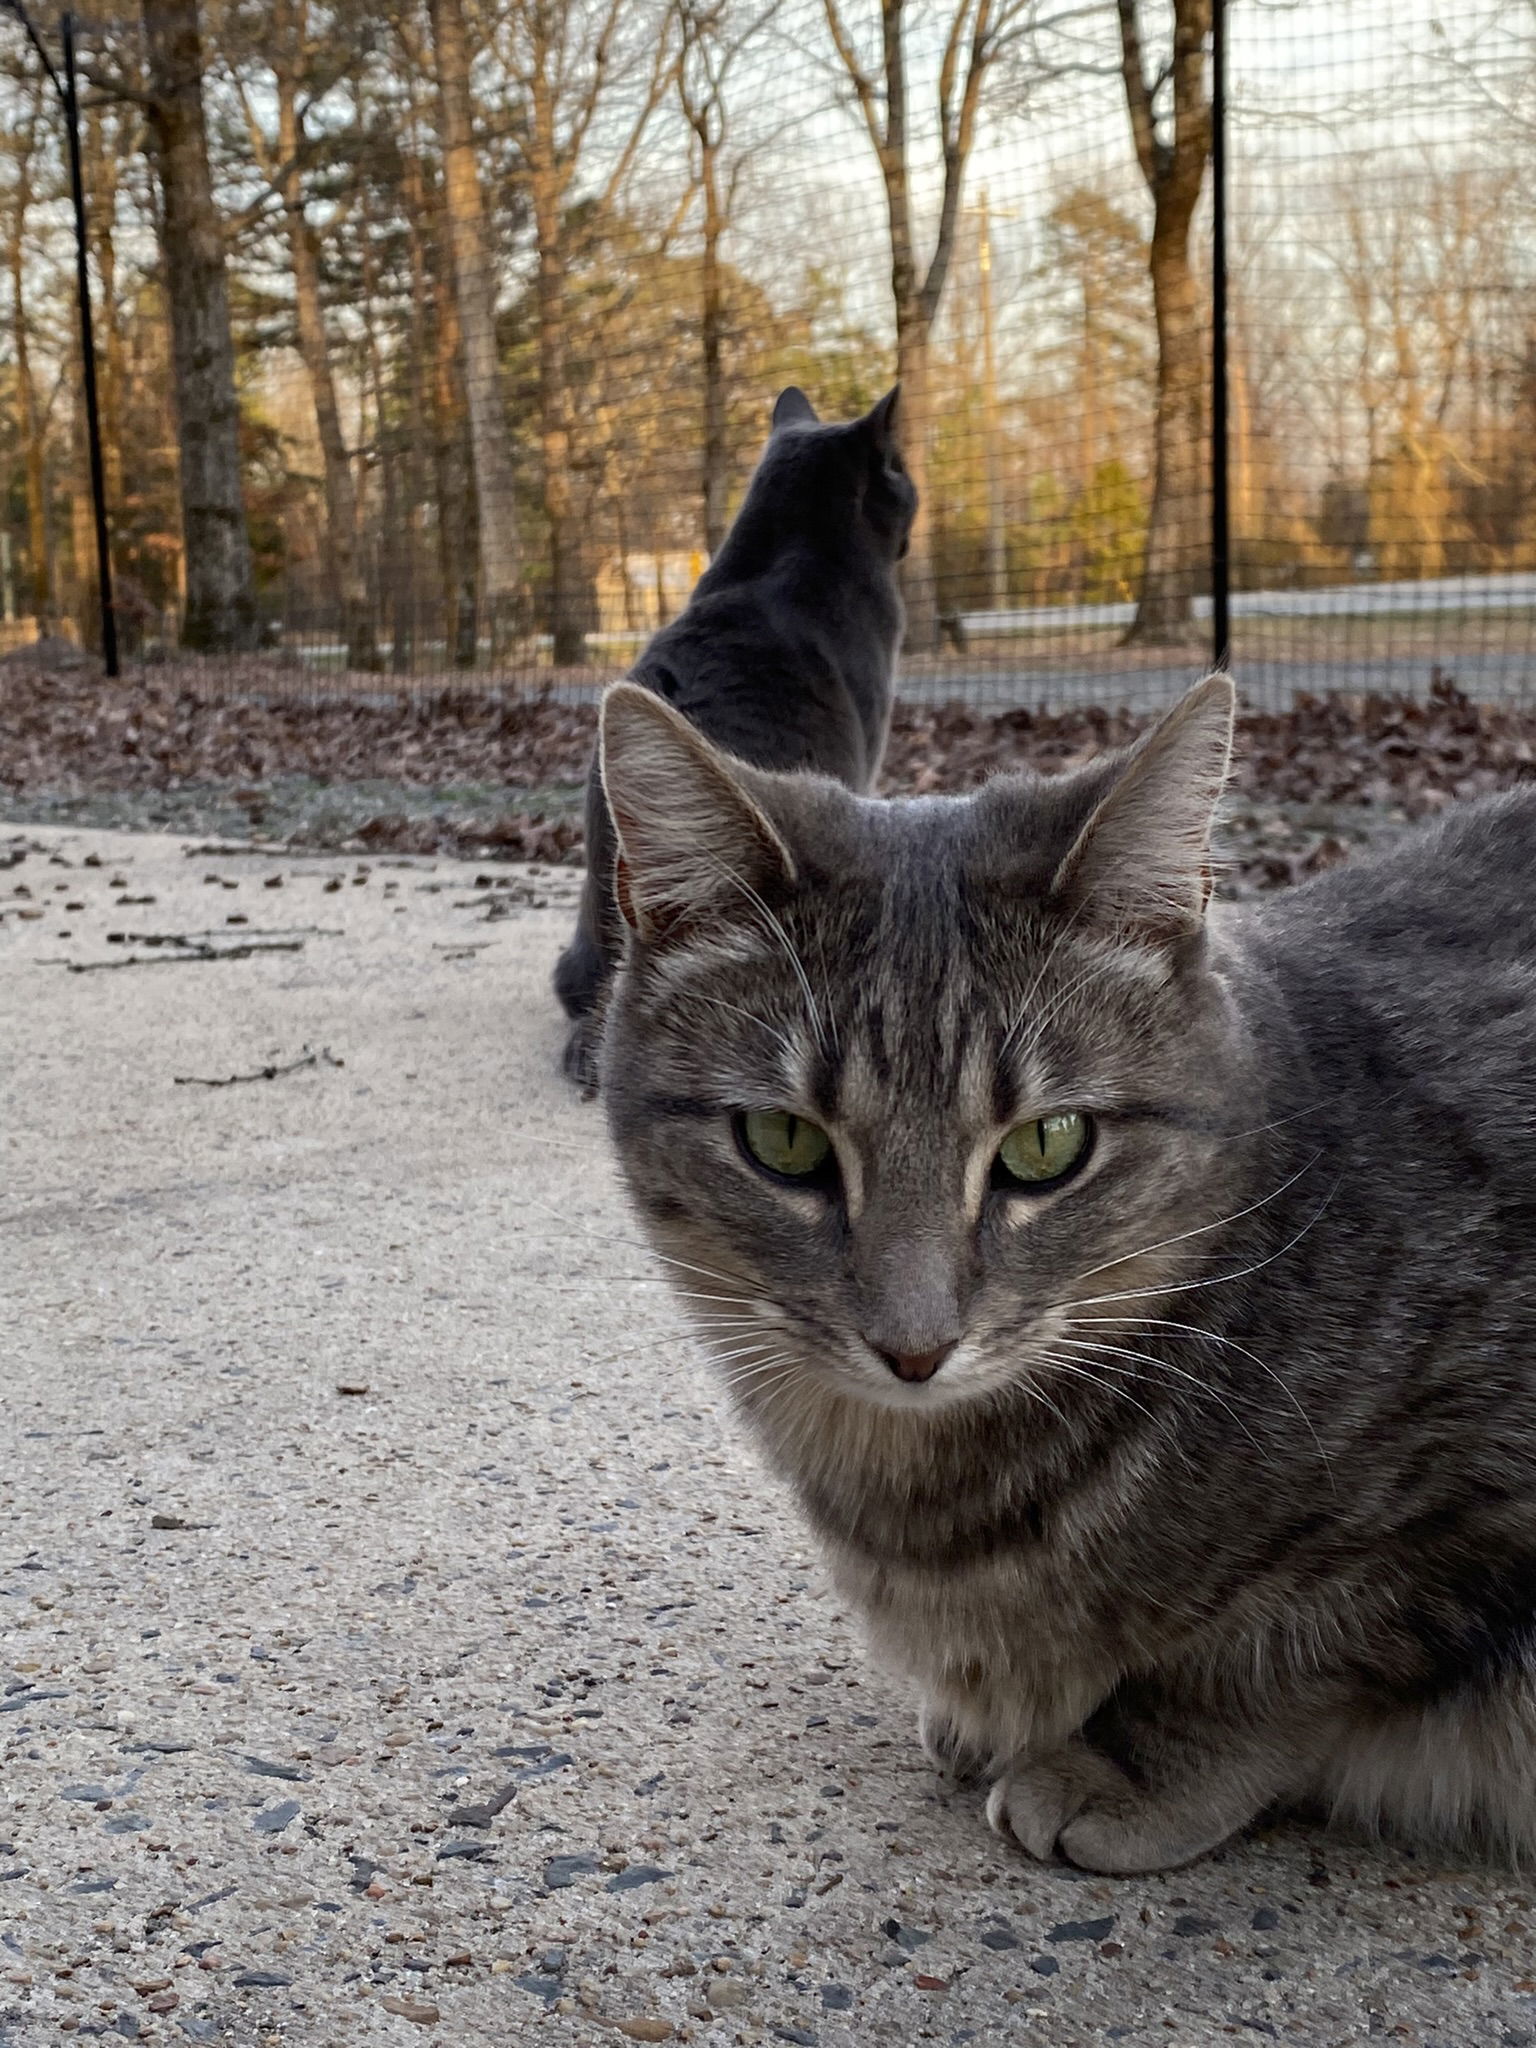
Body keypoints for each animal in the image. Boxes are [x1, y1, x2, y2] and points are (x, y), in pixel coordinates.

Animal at [593, 671, 1536, 1875]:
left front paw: (1122, 1757)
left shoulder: (1453, 1519)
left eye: (1048, 1145)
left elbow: (1271, 1655)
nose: (913, 1348)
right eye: (783, 1141)